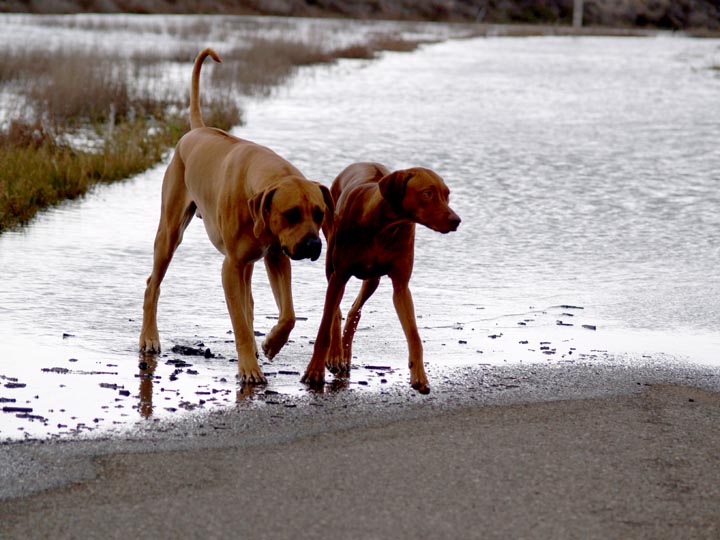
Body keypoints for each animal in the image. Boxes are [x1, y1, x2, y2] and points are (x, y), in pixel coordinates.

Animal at [140, 47, 334, 384]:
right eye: (292, 213)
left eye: (319, 214)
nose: (313, 246)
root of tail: (197, 130)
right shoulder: (230, 267)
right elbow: (240, 324)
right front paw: (249, 368)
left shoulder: (276, 256)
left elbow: (288, 314)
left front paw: (272, 342)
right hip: (170, 233)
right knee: (153, 283)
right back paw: (149, 337)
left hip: (248, 261)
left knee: (249, 300)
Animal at [302, 160, 462, 392]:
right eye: (427, 193)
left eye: (447, 194)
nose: (456, 220)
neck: (385, 225)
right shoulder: (339, 275)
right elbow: (324, 329)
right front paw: (314, 370)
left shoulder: (401, 286)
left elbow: (414, 335)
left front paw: (419, 374)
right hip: (330, 263)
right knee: (335, 311)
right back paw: (335, 353)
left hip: (372, 280)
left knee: (354, 310)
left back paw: (344, 352)